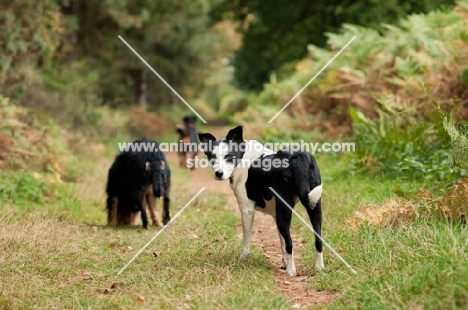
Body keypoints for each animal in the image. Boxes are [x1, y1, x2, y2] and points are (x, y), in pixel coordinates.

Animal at [197, 126, 322, 276]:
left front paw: (243, 259)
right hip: (314, 206)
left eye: (229, 156)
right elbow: (282, 243)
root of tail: (298, 157)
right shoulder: (275, 215)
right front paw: (285, 261)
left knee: (290, 243)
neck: (243, 156)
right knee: (318, 240)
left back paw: (291, 271)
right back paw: (319, 267)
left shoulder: (247, 211)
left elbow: (247, 240)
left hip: (285, 210)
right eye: (212, 157)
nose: (218, 174)